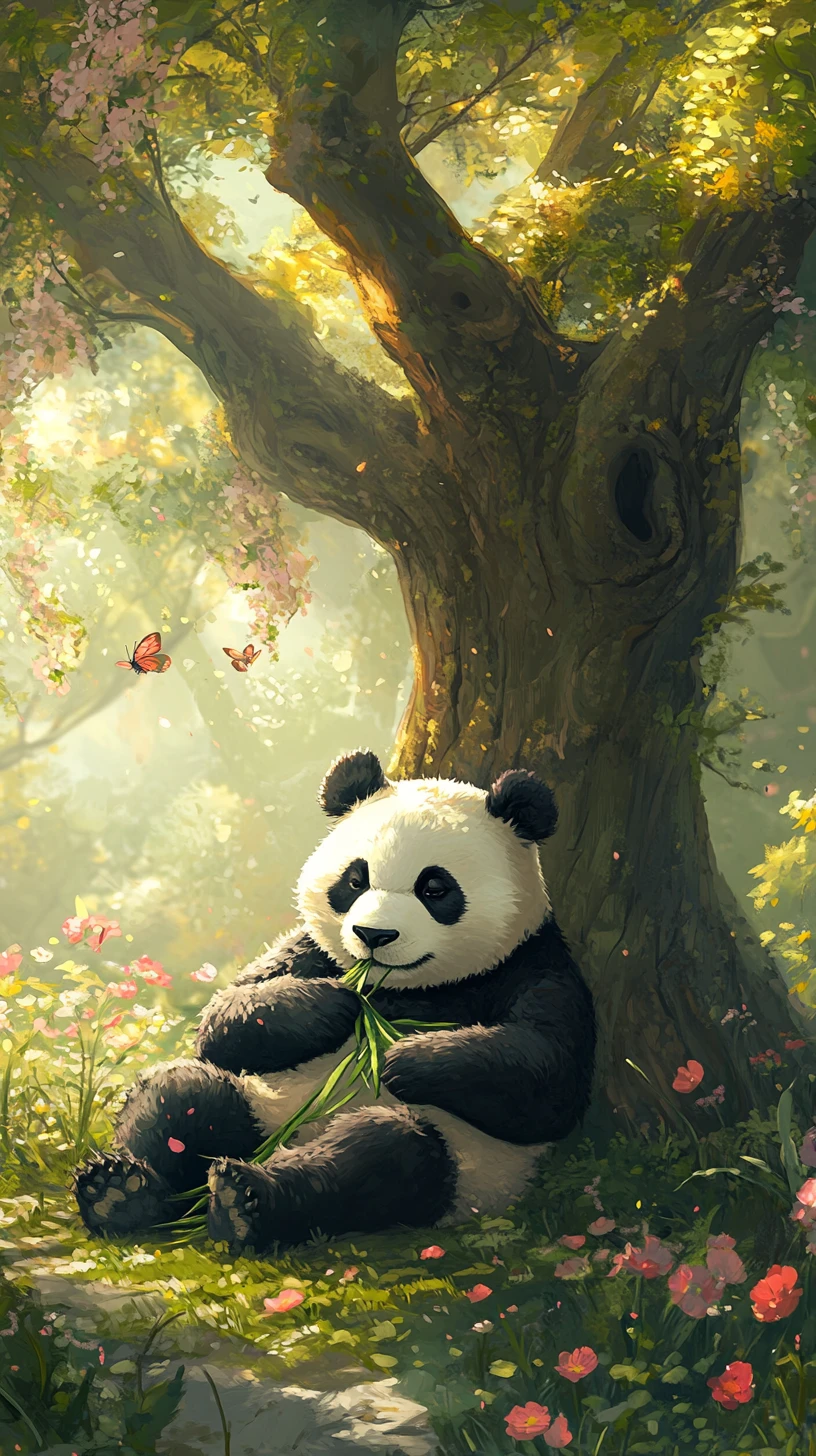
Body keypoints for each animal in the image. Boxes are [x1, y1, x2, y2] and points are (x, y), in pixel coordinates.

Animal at [74, 750, 596, 1255]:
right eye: (355, 880)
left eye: (434, 888)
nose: (373, 935)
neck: (403, 987)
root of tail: (290, 1137)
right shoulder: (309, 950)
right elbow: (226, 1016)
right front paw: (339, 1003)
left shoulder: (533, 963)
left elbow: (546, 1080)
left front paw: (404, 1057)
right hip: (262, 1099)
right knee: (182, 1092)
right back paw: (120, 1193)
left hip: (467, 1165)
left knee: (381, 1158)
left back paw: (247, 1202)